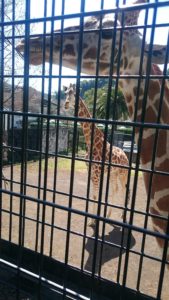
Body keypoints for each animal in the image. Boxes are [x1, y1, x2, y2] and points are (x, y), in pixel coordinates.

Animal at [64, 82, 129, 225]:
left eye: (74, 93)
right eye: (65, 93)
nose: (65, 104)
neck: (91, 142)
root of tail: (126, 155)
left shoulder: (98, 172)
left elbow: (95, 194)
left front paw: (93, 220)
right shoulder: (91, 170)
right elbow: (92, 194)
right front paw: (92, 219)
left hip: (123, 173)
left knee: (124, 189)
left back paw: (122, 215)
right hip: (113, 173)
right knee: (115, 189)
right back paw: (109, 214)